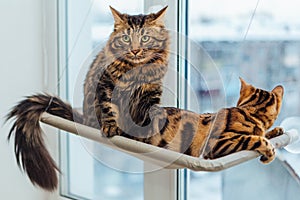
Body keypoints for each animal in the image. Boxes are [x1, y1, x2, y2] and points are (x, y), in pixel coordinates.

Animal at [5, 5, 284, 191]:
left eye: (146, 38)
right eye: (127, 38)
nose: (136, 49)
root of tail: (81, 119)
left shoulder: (150, 93)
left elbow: (149, 115)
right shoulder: (106, 85)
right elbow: (109, 108)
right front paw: (112, 128)